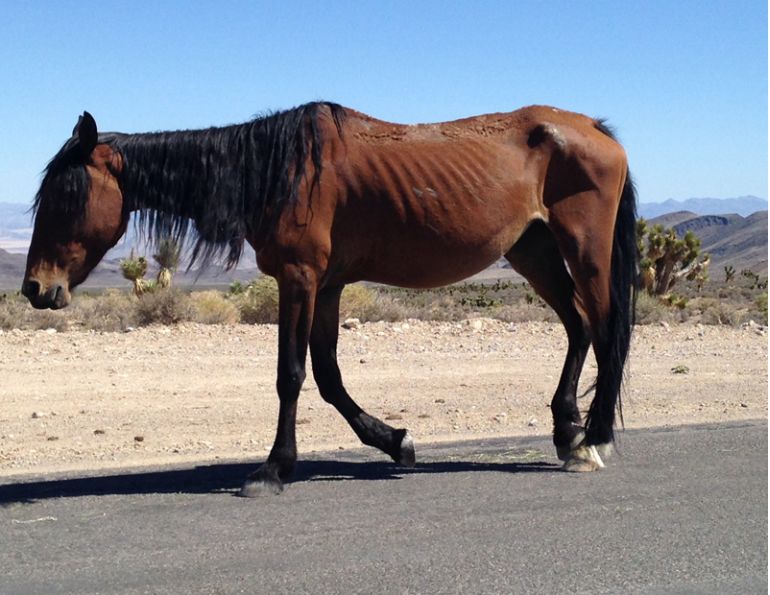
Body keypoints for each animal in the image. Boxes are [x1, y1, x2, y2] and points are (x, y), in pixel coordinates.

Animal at [22, 102, 637, 496]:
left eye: (66, 194)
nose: (35, 288)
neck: (276, 172)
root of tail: (595, 129)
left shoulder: (300, 278)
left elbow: (291, 375)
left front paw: (272, 470)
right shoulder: (328, 285)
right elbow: (327, 376)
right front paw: (396, 442)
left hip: (583, 248)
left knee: (604, 329)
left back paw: (593, 437)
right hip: (533, 250)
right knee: (579, 327)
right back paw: (568, 435)